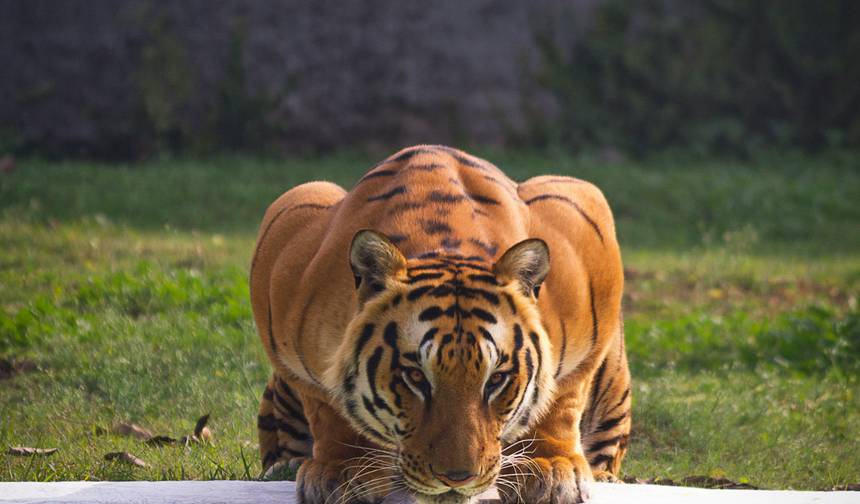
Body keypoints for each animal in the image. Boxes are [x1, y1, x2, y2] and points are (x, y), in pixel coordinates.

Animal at [250, 145, 631, 504]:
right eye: (415, 377)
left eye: (496, 380)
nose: (457, 478)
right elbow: (326, 406)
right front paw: (343, 471)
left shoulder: (584, 224)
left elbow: (562, 398)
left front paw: (550, 469)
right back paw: (287, 465)